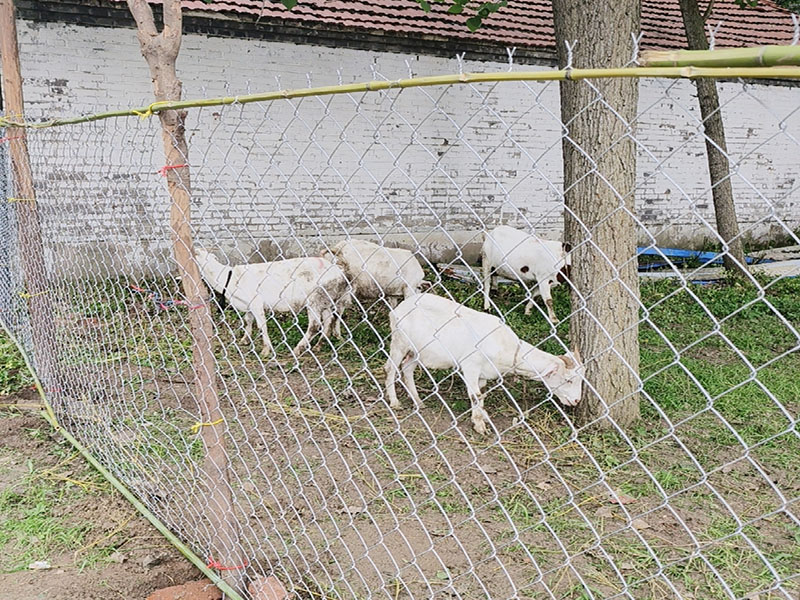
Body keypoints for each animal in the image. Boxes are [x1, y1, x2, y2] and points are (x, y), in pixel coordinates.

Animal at [195, 247, 348, 358]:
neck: (229, 278)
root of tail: (340, 272)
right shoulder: (249, 305)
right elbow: (248, 320)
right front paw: (245, 339)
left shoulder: (256, 302)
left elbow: (262, 325)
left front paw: (265, 350)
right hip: (326, 299)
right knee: (328, 320)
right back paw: (319, 345)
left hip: (315, 298)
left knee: (315, 325)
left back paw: (298, 349)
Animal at [386, 292, 580, 434]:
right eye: (568, 379)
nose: (576, 401)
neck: (504, 345)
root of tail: (399, 308)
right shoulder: (471, 366)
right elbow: (475, 395)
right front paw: (480, 426)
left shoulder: (484, 374)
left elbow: (482, 395)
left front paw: (481, 416)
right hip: (399, 342)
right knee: (391, 368)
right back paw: (395, 402)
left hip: (416, 351)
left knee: (407, 368)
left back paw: (418, 401)